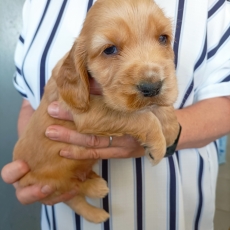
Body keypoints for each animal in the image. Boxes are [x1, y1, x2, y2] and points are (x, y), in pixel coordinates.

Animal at [13, 0, 180, 224]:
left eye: (163, 38)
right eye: (109, 50)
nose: (152, 87)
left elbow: (157, 109)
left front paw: (170, 129)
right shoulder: (88, 114)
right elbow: (142, 117)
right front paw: (158, 146)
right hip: (46, 185)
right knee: (71, 194)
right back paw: (96, 199)